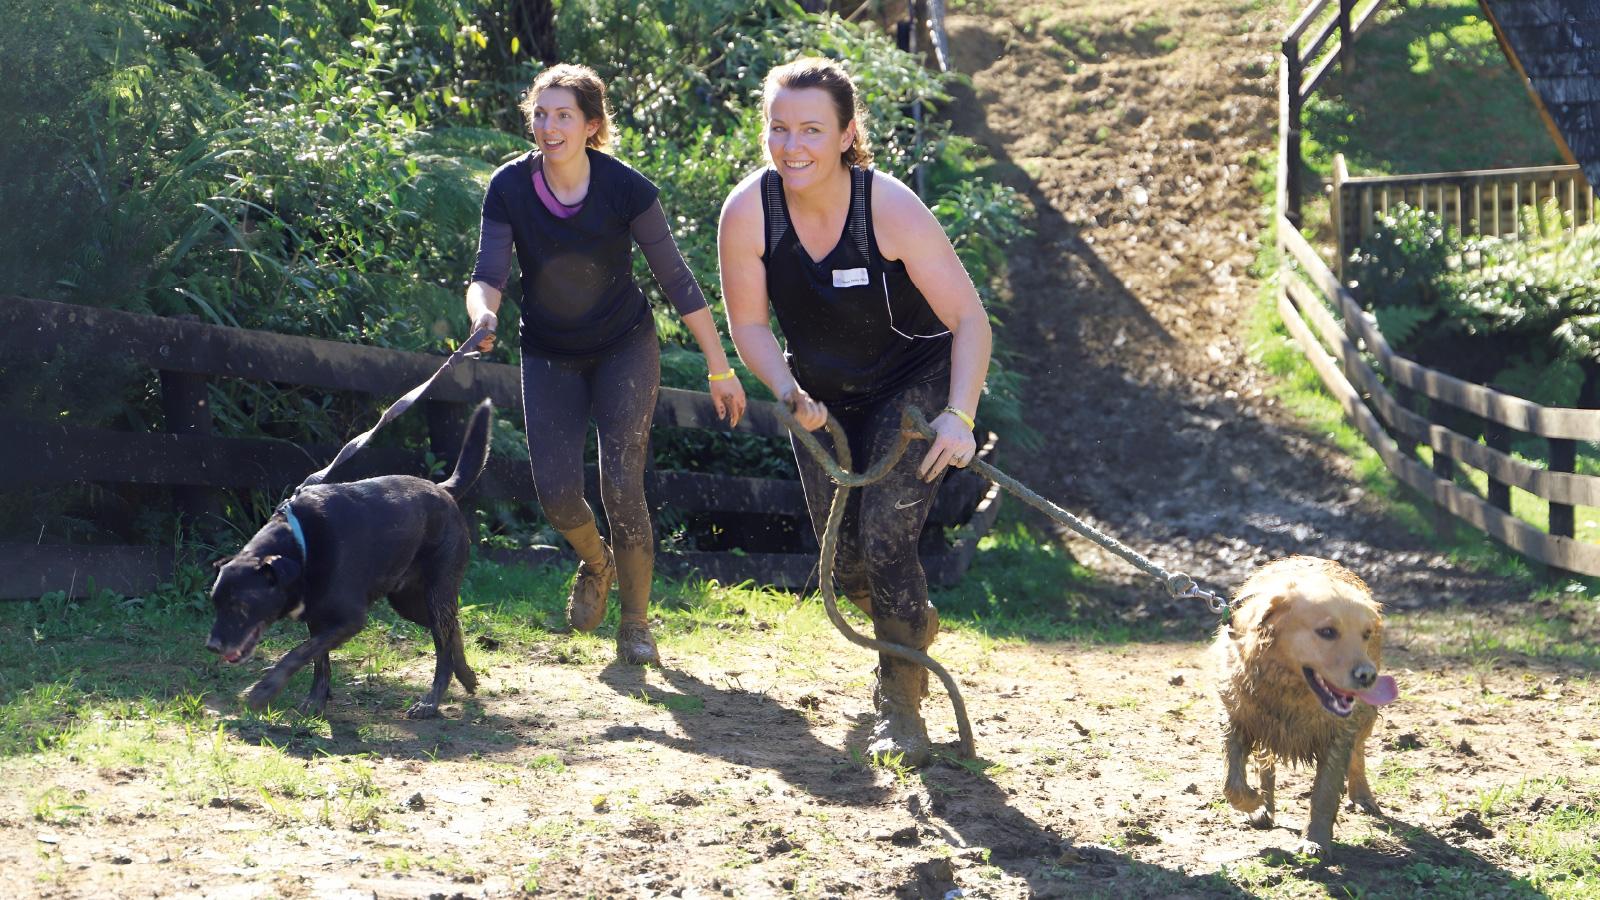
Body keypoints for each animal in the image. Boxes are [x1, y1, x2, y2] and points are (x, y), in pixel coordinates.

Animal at [208, 397, 492, 714]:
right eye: (215, 602)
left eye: (241, 605)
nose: (213, 646)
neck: (302, 547)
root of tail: (443, 489)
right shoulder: (317, 618)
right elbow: (318, 659)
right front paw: (315, 700)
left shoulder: (349, 619)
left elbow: (299, 653)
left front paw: (265, 690)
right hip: (408, 601)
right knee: (453, 627)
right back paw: (466, 676)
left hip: (437, 592)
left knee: (443, 644)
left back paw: (431, 701)